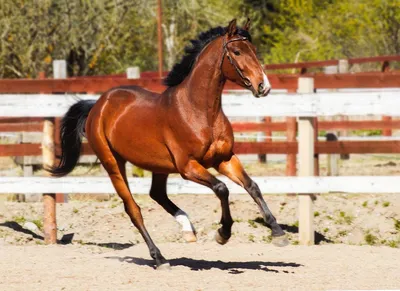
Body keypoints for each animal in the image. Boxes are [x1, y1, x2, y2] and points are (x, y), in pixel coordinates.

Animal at [50, 18, 288, 272]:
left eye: (254, 50)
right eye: (237, 52)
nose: (264, 86)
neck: (199, 111)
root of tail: (98, 105)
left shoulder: (223, 159)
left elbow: (252, 186)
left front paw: (277, 233)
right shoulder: (188, 167)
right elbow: (222, 188)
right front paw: (223, 233)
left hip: (159, 166)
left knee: (157, 194)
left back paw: (187, 228)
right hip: (113, 163)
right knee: (133, 208)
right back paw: (160, 258)